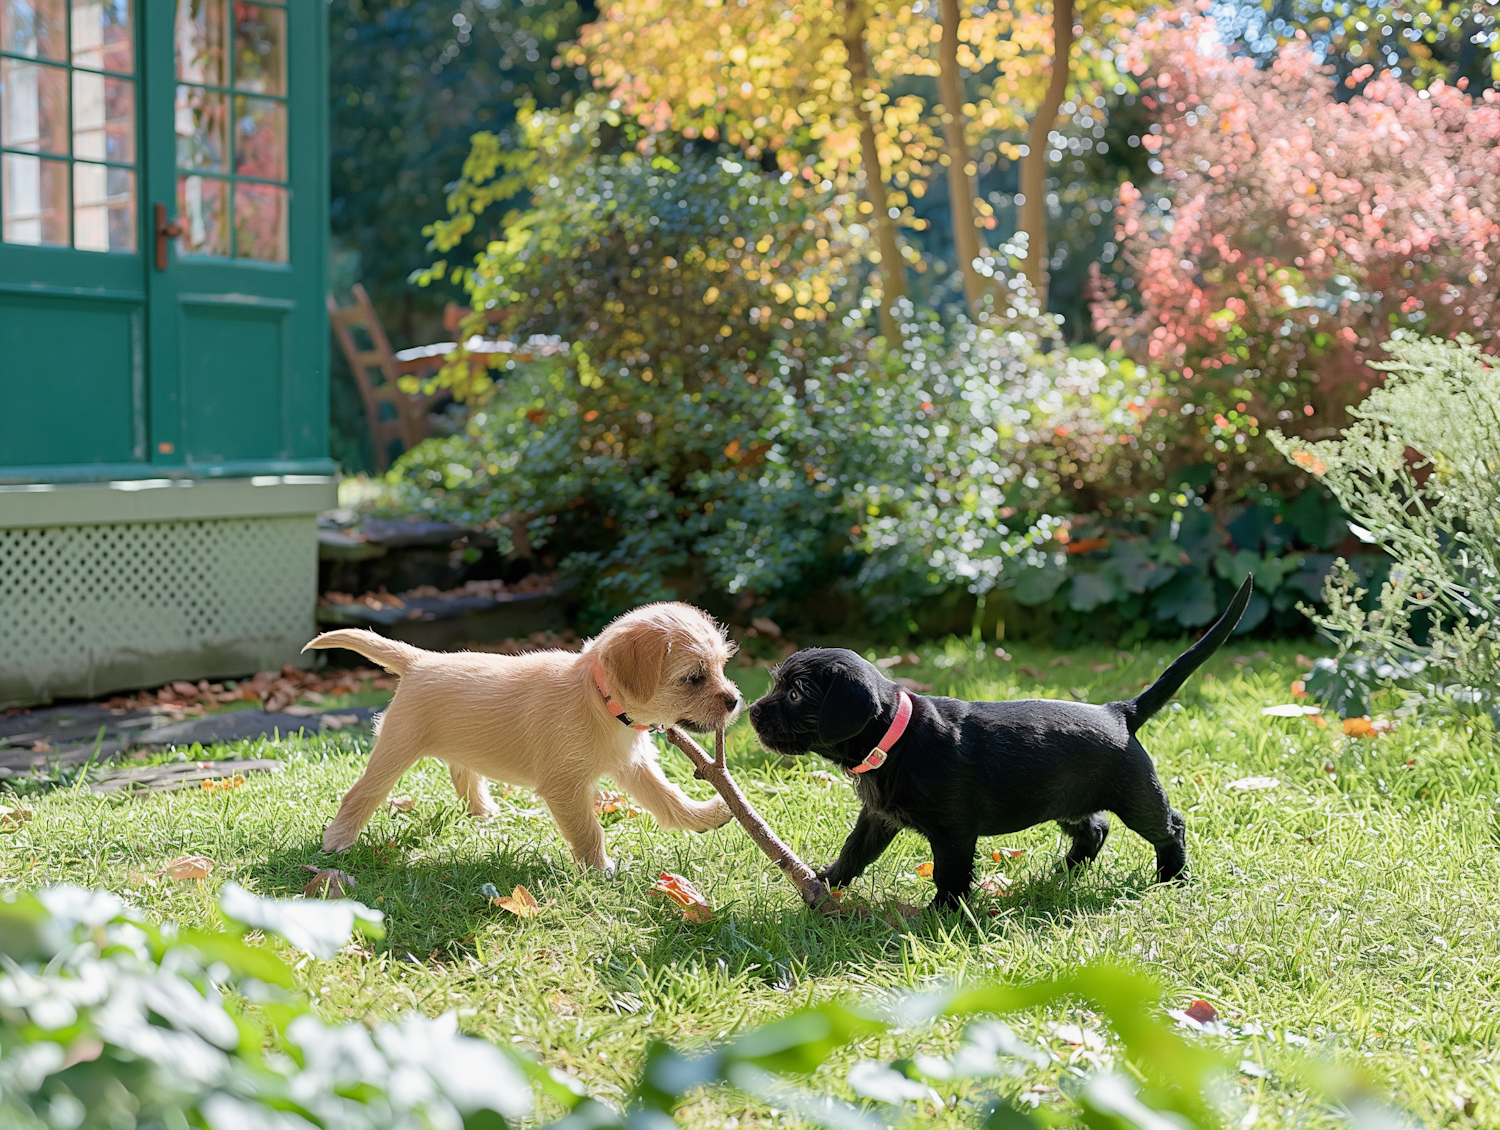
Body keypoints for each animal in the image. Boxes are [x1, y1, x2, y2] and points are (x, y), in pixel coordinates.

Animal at [307, 603, 741, 870]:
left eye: (721, 666)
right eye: (694, 677)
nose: (736, 700)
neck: (599, 701)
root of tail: (420, 659)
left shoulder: (635, 768)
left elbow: (670, 800)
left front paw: (705, 816)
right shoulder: (565, 786)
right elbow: (589, 829)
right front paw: (599, 869)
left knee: (463, 772)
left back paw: (482, 812)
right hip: (396, 749)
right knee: (360, 794)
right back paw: (338, 840)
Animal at [750, 573, 1254, 906]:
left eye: (795, 694)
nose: (752, 711)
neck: (895, 738)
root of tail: (1118, 712)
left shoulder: (953, 831)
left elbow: (950, 873)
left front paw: (942, 913)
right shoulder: (878, 817)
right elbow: (855, 851)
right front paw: (826, 880)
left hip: (1136, 797)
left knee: (1170, 826)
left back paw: (1171, 878)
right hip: (1063, 798)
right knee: (1094, 828)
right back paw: (1063, 872)